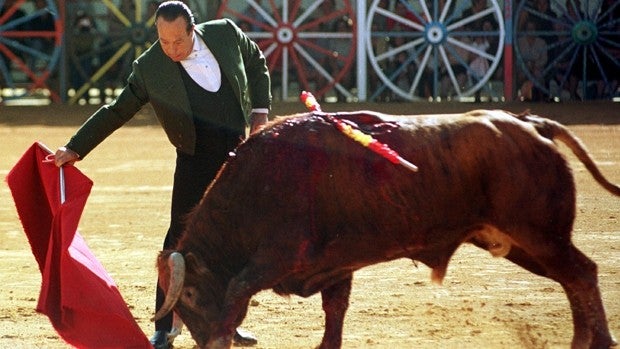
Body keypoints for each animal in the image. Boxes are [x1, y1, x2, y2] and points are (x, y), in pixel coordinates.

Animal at [153, 109, 616, 348]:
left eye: (188, 295)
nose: (204, 342)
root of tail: (533, 125)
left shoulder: (280, 255)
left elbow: (235, 289)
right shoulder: (335, 267)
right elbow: (335, 311)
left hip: (539, 234)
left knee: (580, 274)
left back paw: (593, 341)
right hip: (525, 242)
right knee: (574, 277)